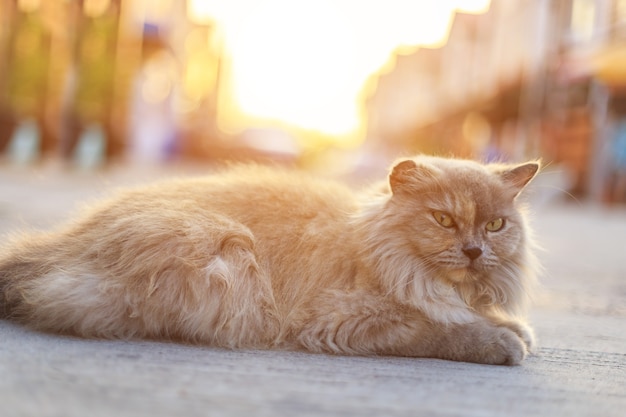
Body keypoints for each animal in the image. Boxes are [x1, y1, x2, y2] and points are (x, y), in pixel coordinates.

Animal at [0, 154, 536, 364]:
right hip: (227, 253)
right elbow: (436, 329)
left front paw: (512, 325)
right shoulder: (347, 318)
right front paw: (501, 342)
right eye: (443, 220)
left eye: (495, 225)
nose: (474, 250)